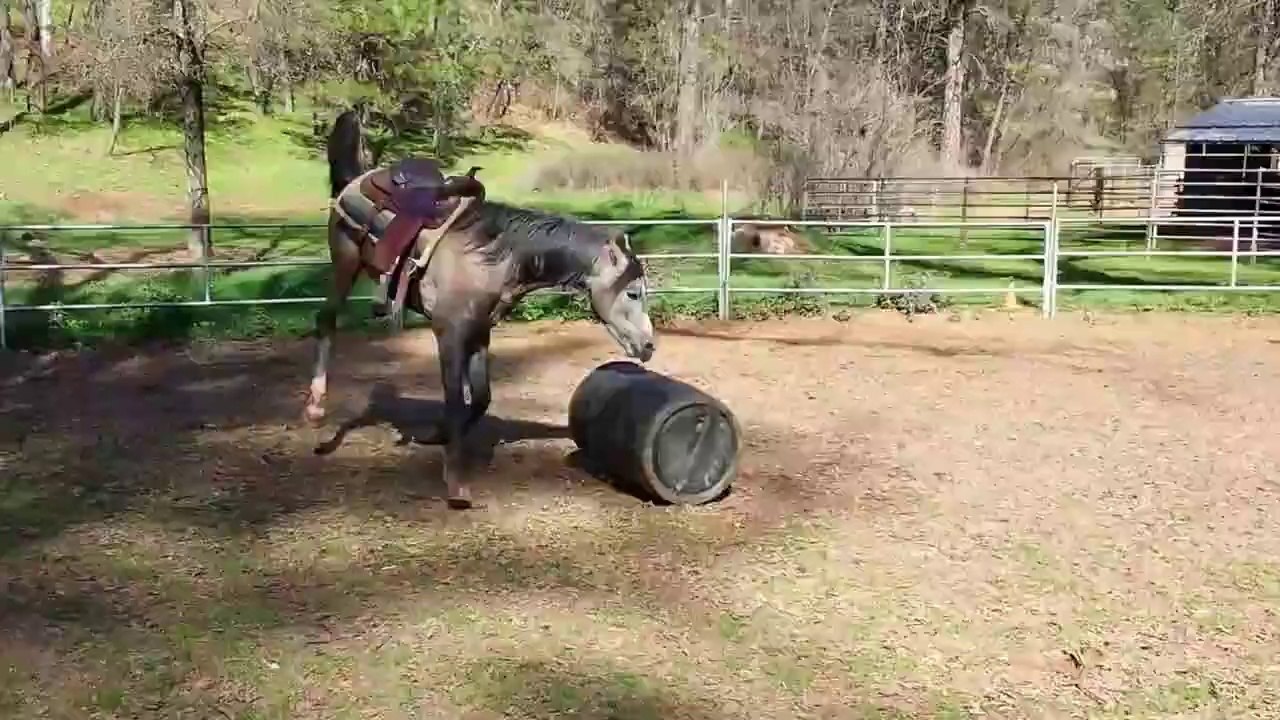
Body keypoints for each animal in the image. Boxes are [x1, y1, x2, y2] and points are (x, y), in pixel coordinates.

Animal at [304, 109, 657, 510]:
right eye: (633, 293)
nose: (648, 346)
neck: (492, 256)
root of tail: (358, 179)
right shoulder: (449, 333)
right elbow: (457, 402)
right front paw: (456, 485)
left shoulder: (479, 331)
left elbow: (480, 397)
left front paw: (437, 436)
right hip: (345, 264)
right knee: (325, 321)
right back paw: (316, 412)